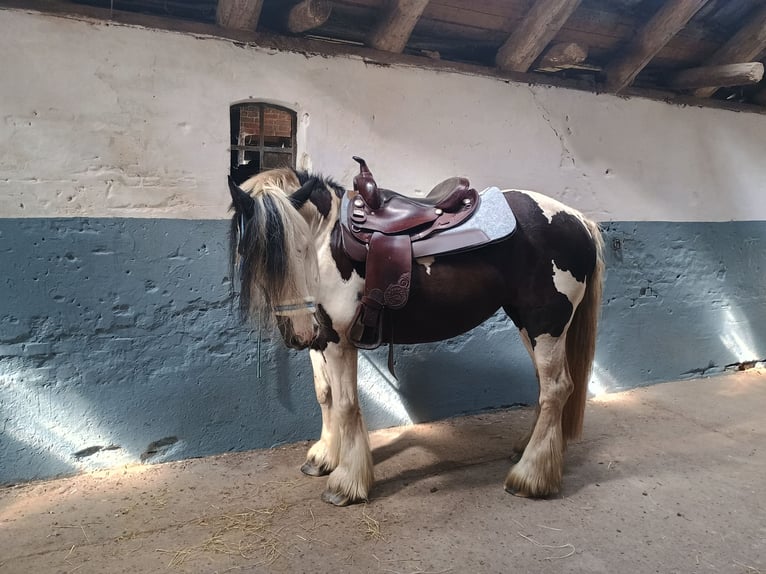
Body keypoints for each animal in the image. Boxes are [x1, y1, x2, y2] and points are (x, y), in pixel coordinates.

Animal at [228, 160, 608, 506]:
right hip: (529, 325)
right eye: (250, 252)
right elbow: (325, 394)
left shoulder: (339, 341)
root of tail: (579, 219)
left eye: (300, 248)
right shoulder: (322, 340)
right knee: (547, 386)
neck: (330, 240)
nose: (298, 333)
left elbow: (347, 404)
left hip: (546, 325)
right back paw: (527, 451)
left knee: (556, 389)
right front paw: (324, 457)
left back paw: (530, 477)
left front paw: (347, 482)